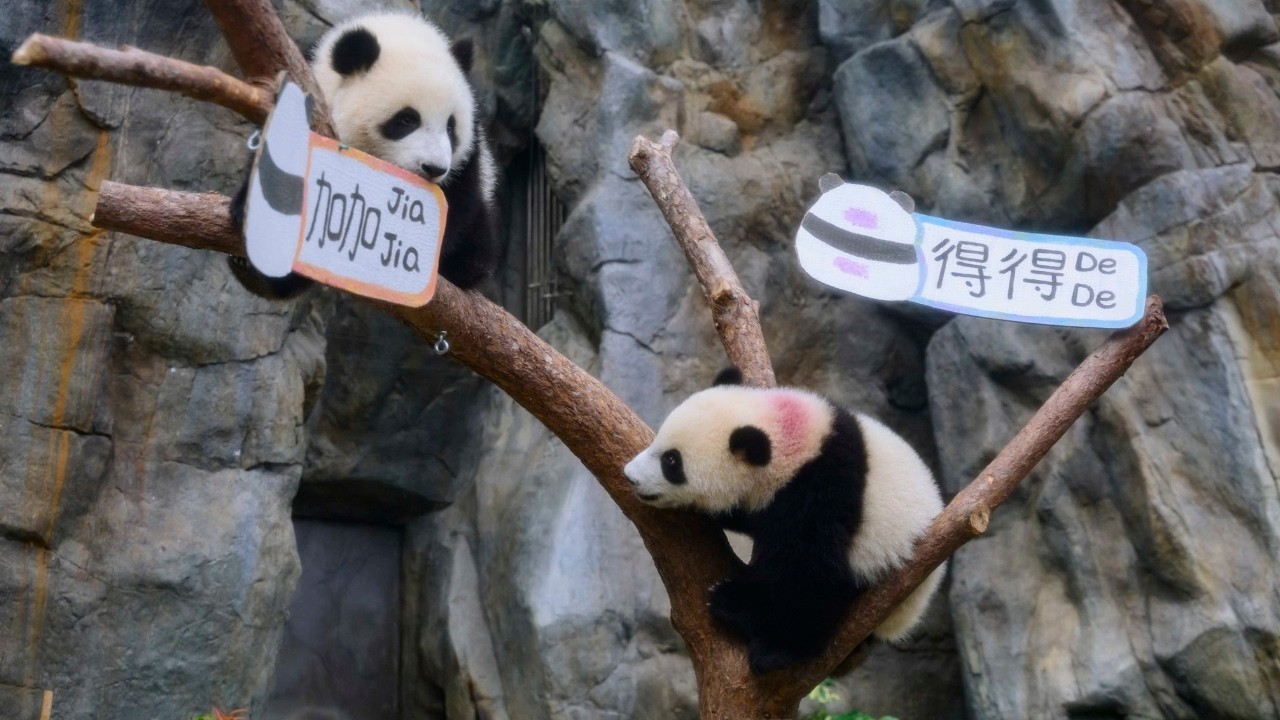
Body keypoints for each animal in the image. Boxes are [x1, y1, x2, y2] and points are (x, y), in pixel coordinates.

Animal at [623, 368, 946, 675]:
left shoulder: (822, 491)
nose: (630, 476)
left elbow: (813, 573)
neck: (791, 437)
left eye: (671, 461)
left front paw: (771, 645)